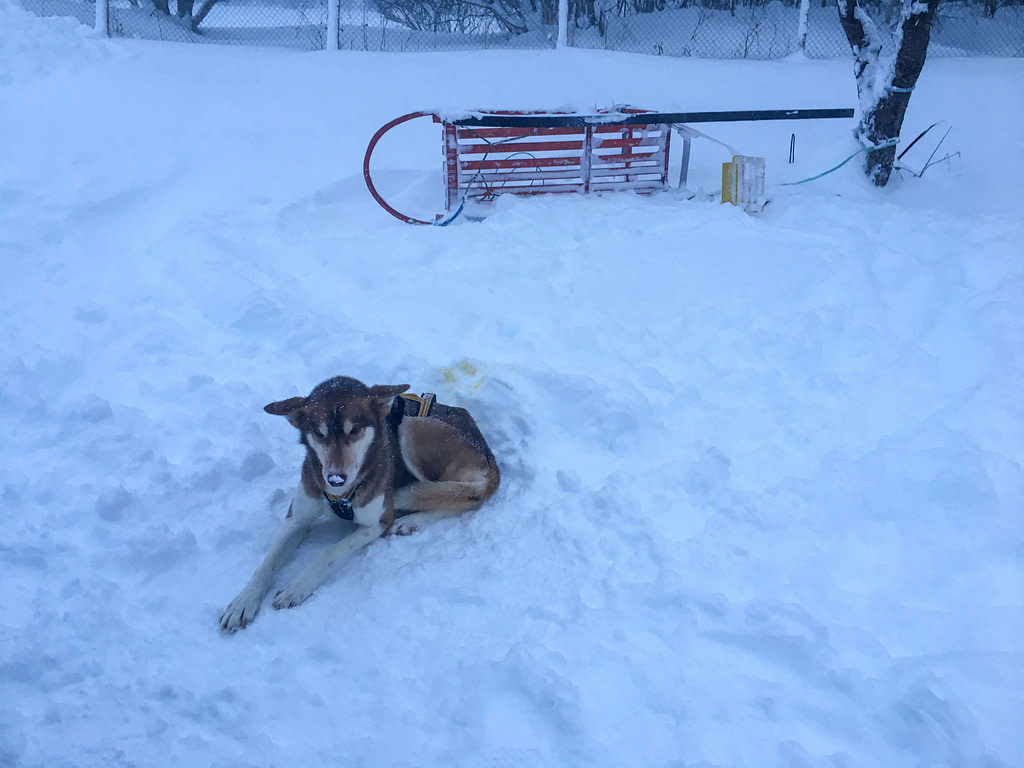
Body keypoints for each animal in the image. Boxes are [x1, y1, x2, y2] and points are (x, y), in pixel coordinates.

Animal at [220, 376, 499, 634]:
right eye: (319, 434)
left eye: (354, 430)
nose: (335, 478)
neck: (340, 495)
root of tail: (486, 450)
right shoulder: (297, 519)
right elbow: (267, 563)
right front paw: (243, 601)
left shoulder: (377, 522)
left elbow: (330, 552)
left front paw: (297, 586)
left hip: (411, 428)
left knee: (461, 498)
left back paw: (410, 520)